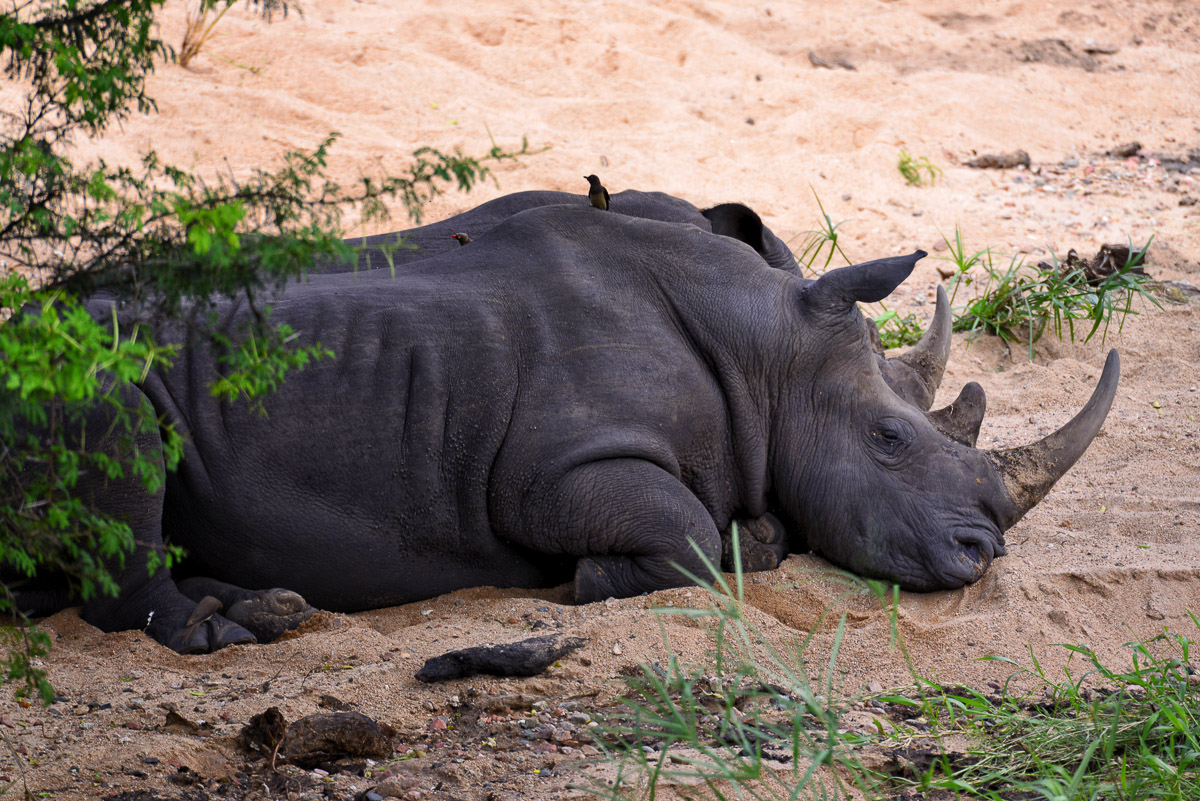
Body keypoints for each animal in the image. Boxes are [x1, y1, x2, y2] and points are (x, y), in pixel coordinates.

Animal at [12, 196, 1119, 653]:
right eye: (889, 442)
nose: (983, 553)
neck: (765, 355)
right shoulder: (550, 474)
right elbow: (689, 533)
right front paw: (585, 580)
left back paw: (272, 610)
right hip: (76, 377)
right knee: (119, 440)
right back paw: (220, 630)